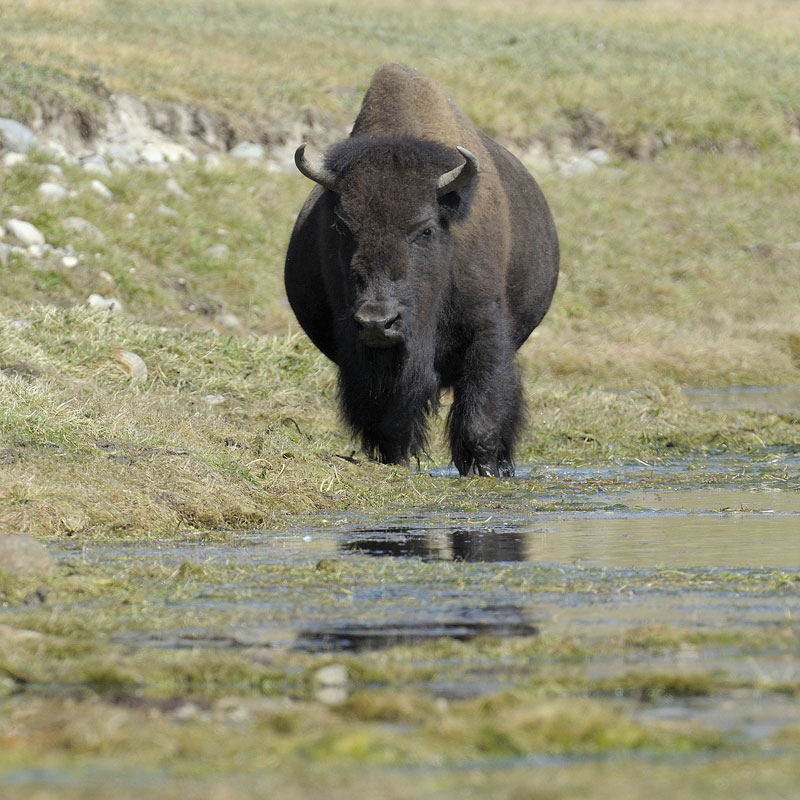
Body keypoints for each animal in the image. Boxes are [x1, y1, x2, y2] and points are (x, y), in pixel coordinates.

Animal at [284, 64, 559, 476]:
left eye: (425, 229)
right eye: (341, 227)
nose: (378, 321)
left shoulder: (485, 327)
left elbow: (483, 409)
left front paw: (484, 468)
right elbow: (388, 417)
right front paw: (397, 460)